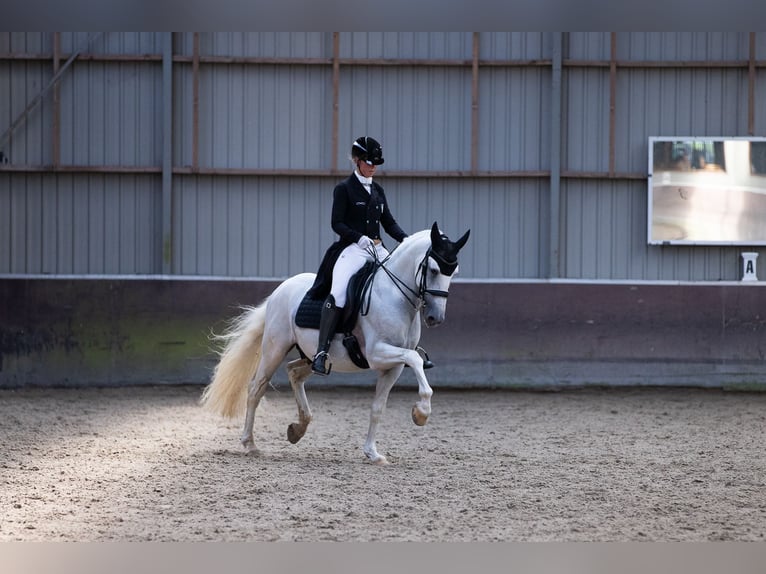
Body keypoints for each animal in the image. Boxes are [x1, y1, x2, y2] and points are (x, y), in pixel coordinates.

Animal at [201, 223, 472, 466]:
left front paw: (373, 453)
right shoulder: (377, 354)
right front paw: (421, 414)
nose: (435, 318)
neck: (394, 296)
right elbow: (415, 360)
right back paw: (250, 444)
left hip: (310, 355)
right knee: (256, 389)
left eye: (454, 272)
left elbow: (378, 407)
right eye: (434, 270)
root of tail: (281, 290)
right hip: (274, 349)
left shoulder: (393, 366)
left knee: (294, 372)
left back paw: (298, 428)